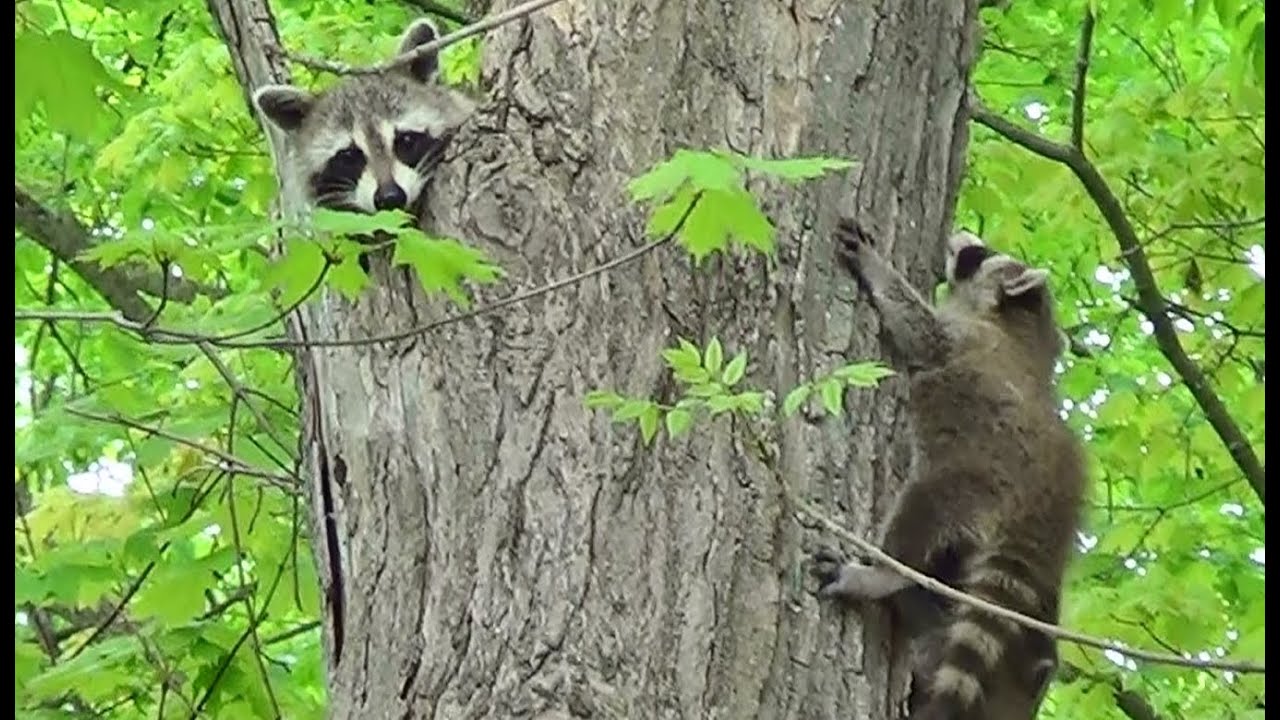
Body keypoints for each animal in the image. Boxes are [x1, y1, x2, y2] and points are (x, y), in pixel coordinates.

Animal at [811, 220, 1088, 720]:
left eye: (981, 253)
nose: (959, 234)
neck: (1025, 325)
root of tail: (1049, 494)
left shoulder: (963, 337)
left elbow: (920, 329)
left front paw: (877, 268)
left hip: (972, 476)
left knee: (919, 518)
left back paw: (880, 575)